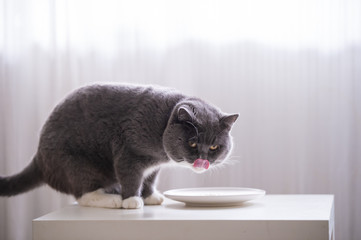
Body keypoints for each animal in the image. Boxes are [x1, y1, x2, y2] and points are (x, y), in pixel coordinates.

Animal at [0, 83, 238, 209]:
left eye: (214, 147)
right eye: (193, 142)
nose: (203, 160)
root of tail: (38, 158)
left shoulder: (154, 166)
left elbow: (150, 179)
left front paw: (150, 196)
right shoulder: (129, 152)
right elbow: (131, 175)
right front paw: (132, 200)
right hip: (74, 163)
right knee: (83, 194)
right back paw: (114, 199)